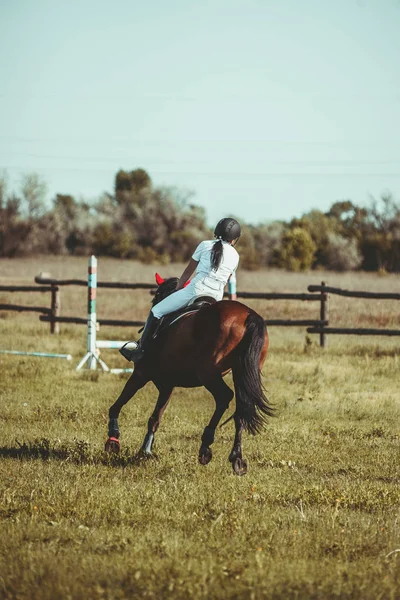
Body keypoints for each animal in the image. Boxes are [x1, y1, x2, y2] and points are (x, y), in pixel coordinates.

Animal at [104, 274, 272, 476]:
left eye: (156, 297)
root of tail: (248, 315)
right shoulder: (167, 385)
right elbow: (155, 419)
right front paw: (145, 452)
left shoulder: (141, 374)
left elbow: (118, 404)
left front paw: (113, 439)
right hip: (240, 374)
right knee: (241, 407)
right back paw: (236, 458)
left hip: (208, 373)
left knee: (224, 397)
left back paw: (206, 446)